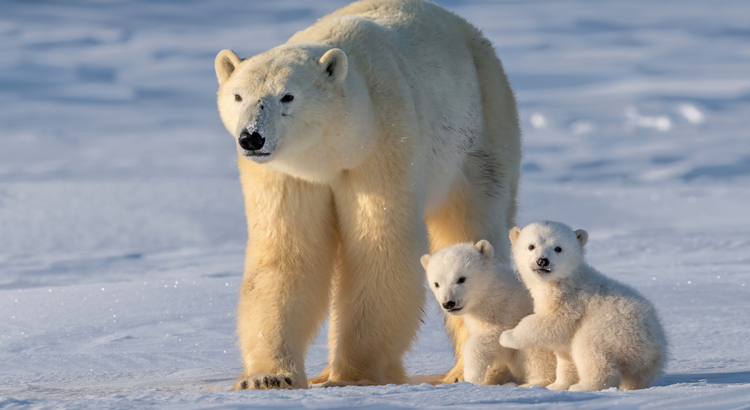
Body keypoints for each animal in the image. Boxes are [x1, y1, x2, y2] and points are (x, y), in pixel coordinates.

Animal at [216, 0, 524, 390]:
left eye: (287, 96)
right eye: (238, 95)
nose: (252, 138)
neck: (334, 151)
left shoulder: (383, 144)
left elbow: (380, 247)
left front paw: (354, 376)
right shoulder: (287, 174)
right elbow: (286, 253)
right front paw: (268, 377)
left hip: (480, 131)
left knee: (471, 221)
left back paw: (467, 371)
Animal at [424, 239, 560, 386]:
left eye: (461, 279)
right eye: (436, 284)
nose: (448, 303)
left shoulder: (510, 310)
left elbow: (496, 338)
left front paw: (472, 375)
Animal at [500, 221, 668, 390]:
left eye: (558, 248)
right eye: (531, 246)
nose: (542, 261)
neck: (565, 280)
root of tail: (655, 349)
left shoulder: (572, 302)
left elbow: (553, 323)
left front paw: (507, 337)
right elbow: (565, 356)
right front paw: (557, 386)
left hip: (612, 330)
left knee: (589, 349)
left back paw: (583, 386)